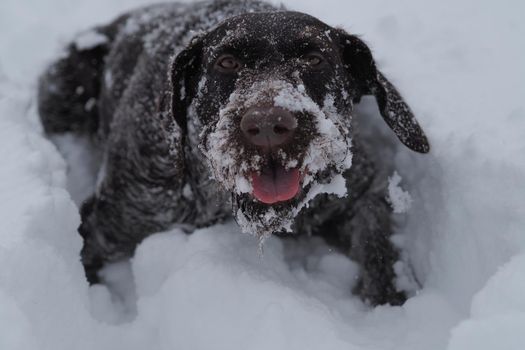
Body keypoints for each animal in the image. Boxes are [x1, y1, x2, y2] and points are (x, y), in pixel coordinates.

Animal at [37, 0, 430, 304]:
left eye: (315, 59)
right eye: (226, 62)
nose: (268, 124)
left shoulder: (362, 192)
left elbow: (380, 245)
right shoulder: (107, 225)